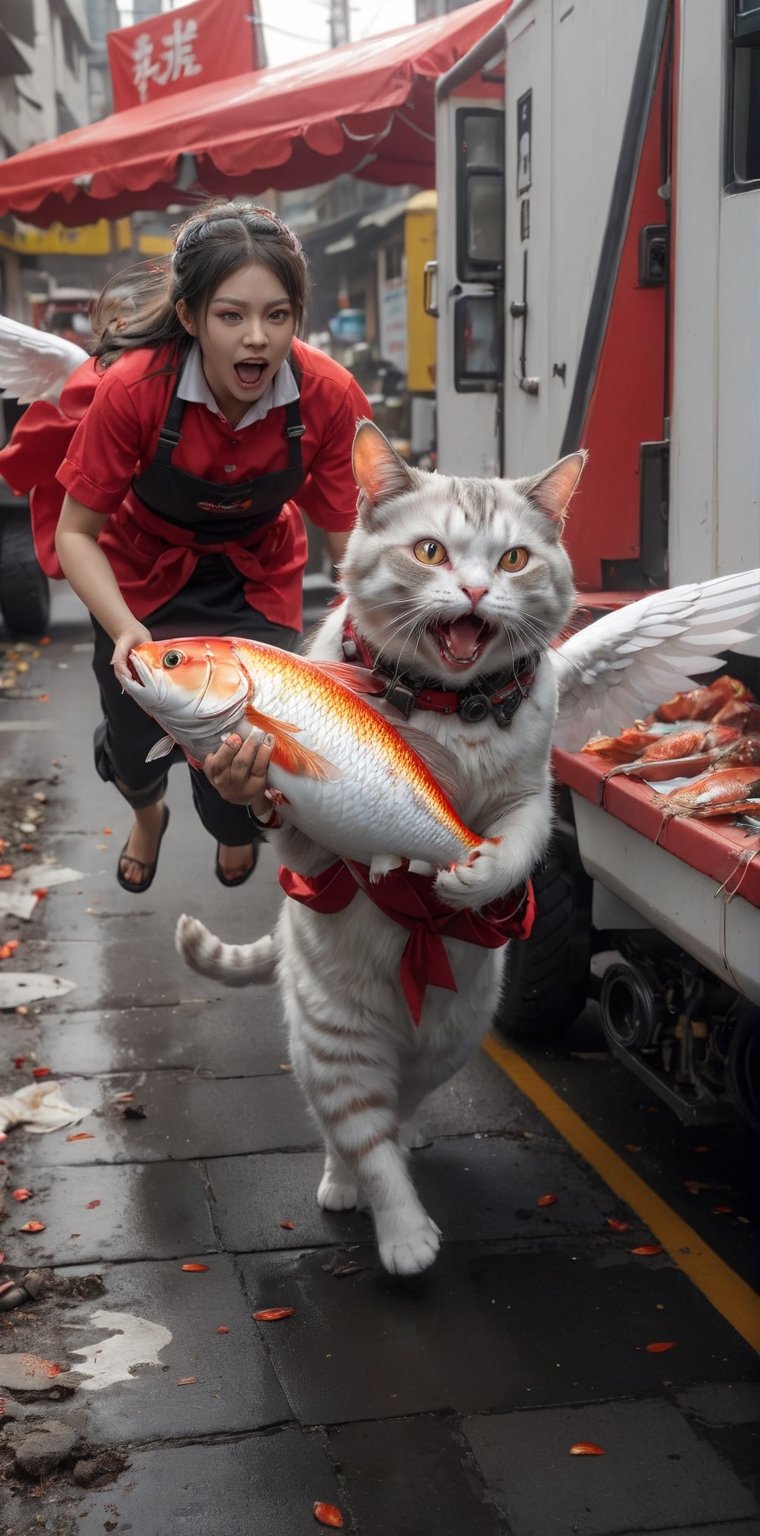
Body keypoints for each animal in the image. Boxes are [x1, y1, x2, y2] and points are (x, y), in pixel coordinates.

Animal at [177, 417, 583, 1271]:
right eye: (430, 552)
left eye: (513, 559)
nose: (476, 592)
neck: (450, 707)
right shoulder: (307, 829)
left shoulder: (534, 792)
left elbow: (517, 841)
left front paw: (476, 875)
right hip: (335, 1037)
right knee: (357, 1130)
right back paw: (392, 1226)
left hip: (451, 1038)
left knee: (402, 1105)